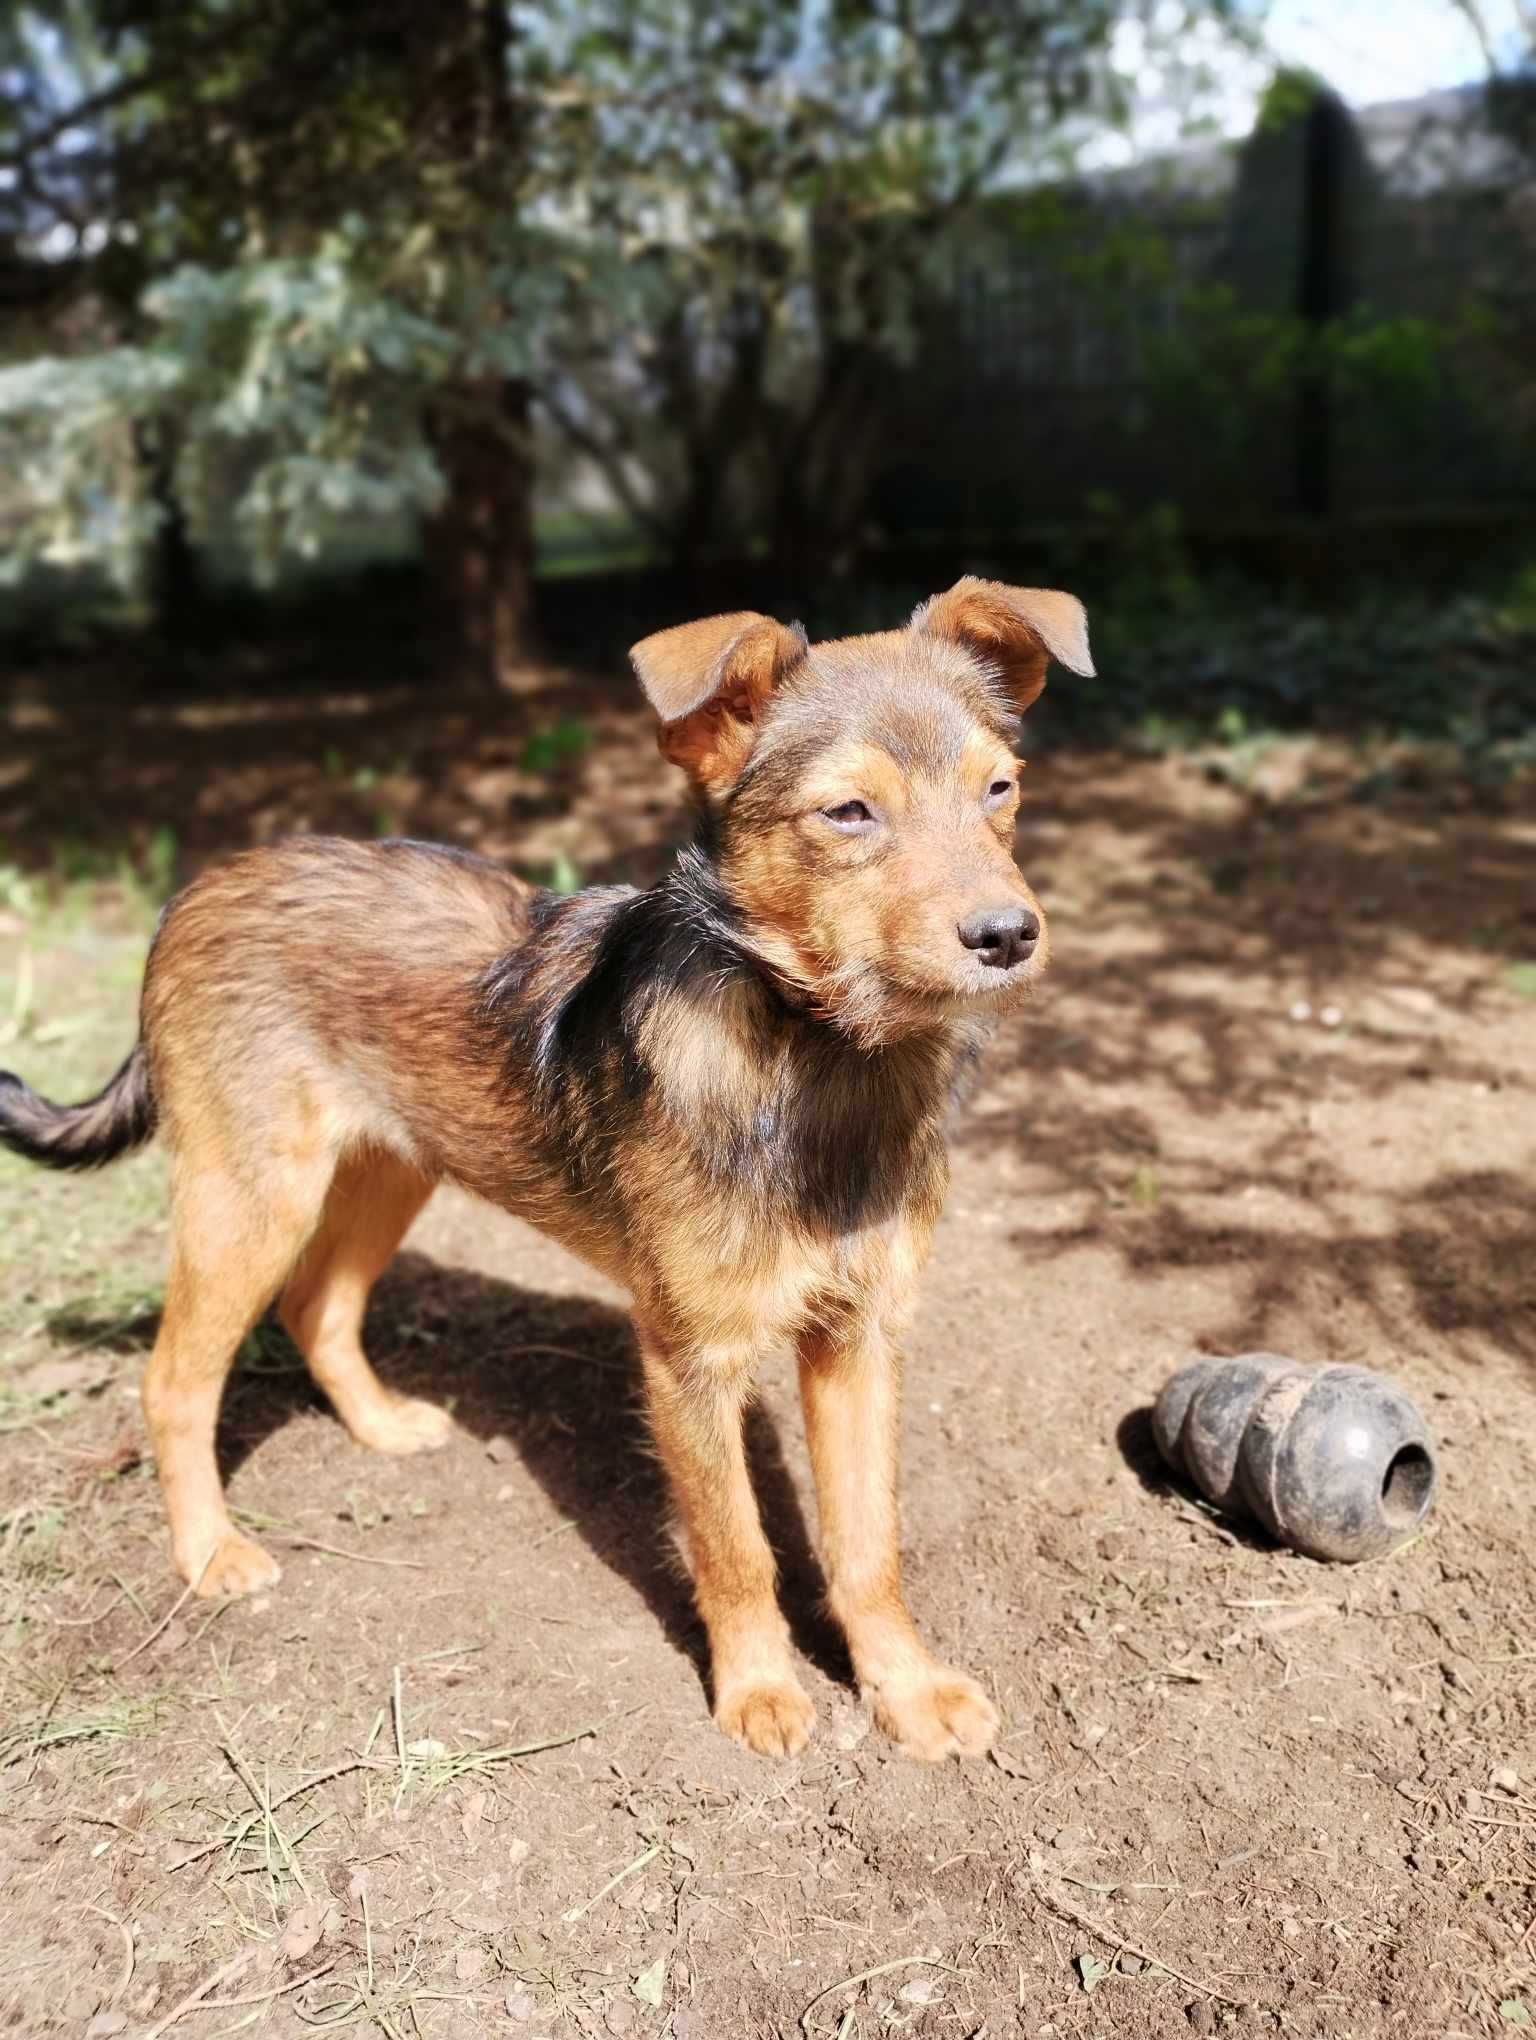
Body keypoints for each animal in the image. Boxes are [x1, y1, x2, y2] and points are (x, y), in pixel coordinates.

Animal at [0, 583, 1085, 1762]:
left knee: (317, 1306)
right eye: (848, 814)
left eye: (1000, 789)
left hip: (394, 1168)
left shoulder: (861, 1336)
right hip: (252, 1197)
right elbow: (736, 1545)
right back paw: (210, 1554)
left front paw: (906, 1689)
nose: (1009, 936)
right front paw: (757, 1688)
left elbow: (866, 1543)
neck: (819, 1063)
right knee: (177, 1381)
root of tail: (200, 884)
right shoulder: (690, 1359)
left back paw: (382, 1427)